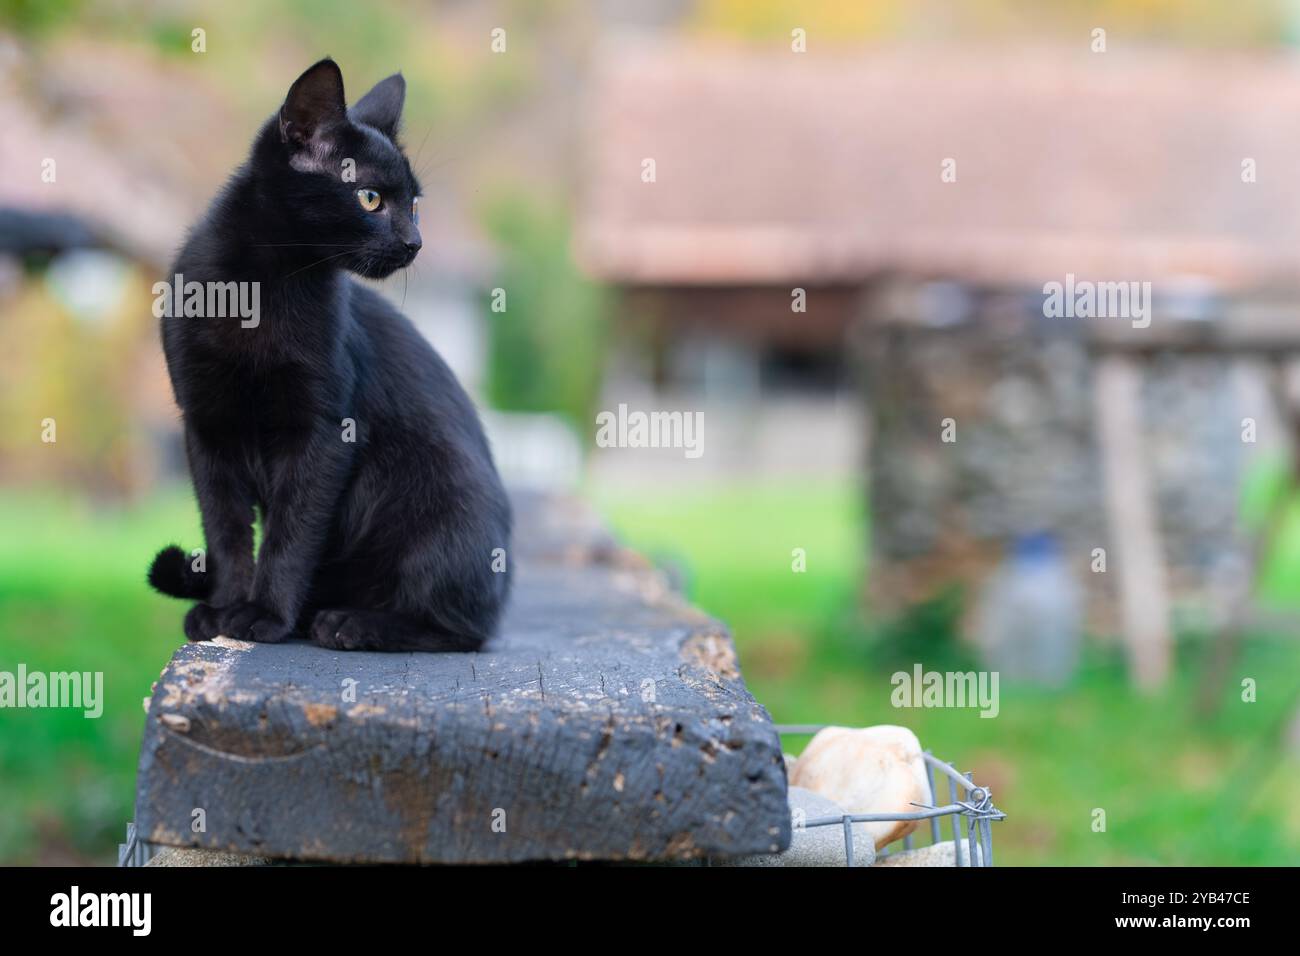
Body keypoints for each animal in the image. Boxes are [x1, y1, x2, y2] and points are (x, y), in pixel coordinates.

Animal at [150, 59, 512, 655]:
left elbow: (291, 533)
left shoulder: (323, 431)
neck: (261, 291)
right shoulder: (205, 426)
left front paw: (264, 615)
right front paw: (224, 608)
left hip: (446, 504)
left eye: (414, 204)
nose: (415, 242)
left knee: (463, 629)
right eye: (369, 199)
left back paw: (351, 623)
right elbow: (225, 530)